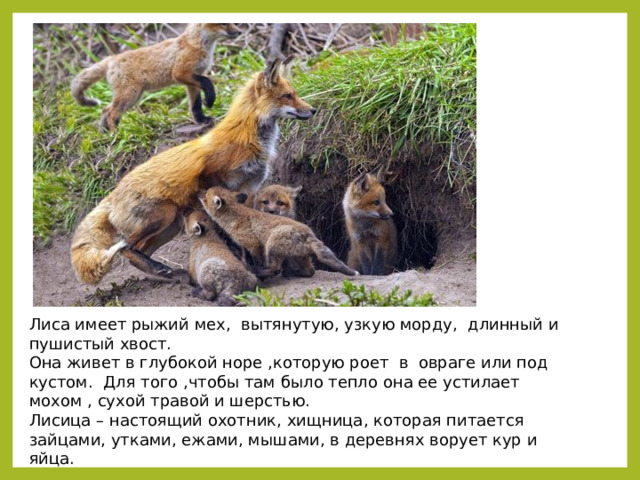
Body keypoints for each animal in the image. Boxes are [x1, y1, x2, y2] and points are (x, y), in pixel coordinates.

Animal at [71, 23, 241, 130]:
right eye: (223, 23)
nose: (240, 32)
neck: (198, 45)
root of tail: (112, 58)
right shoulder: (181, 73)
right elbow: (208, 82)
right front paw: (210, 99)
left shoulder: (192, 79)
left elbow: (195, 105)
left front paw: (202, 120)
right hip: (129, 95)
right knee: (111, 112)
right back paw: (116, 133)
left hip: (134, 97)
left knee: (105, 110)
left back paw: (106, 133)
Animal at [71, 56, 316, 284]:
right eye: (288, 96)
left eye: (294, 94)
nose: (312, 110)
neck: (249, 138)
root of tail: (112, 195)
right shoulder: (210, 175)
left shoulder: (250, 189)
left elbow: (245, 229)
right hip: (164, 215)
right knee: (127, 248)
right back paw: (160, 268)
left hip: (171, 225)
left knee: (138, 251)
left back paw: (163, 272)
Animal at [200, 187, 358, 278]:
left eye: (206, 195)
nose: (198, 193)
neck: (235, 217)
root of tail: (309, 235)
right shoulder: (245, 246)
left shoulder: (254, 244)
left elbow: (258, 259)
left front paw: (256, 267)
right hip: (298, 256)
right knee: (310, 271)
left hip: (272, 244)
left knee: (275, 268)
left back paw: (259, 272)